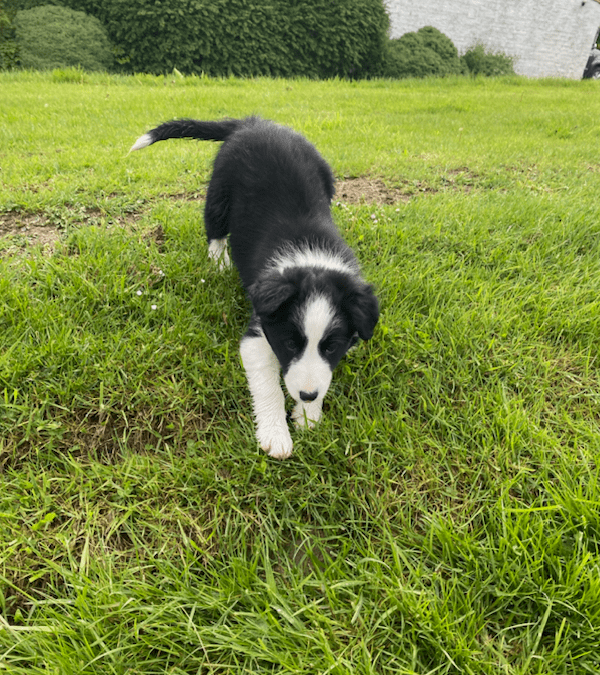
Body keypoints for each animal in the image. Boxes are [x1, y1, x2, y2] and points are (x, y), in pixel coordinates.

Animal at [131, 116, 378, 460]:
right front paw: (276, 434)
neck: (311, 257)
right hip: (219, 192)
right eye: (289, 344)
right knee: (214, 228)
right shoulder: (258, 333)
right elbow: (268, 385)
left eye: (331, 347)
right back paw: (218, 264)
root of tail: (254, 122)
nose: (307, 395)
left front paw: (308, 416)